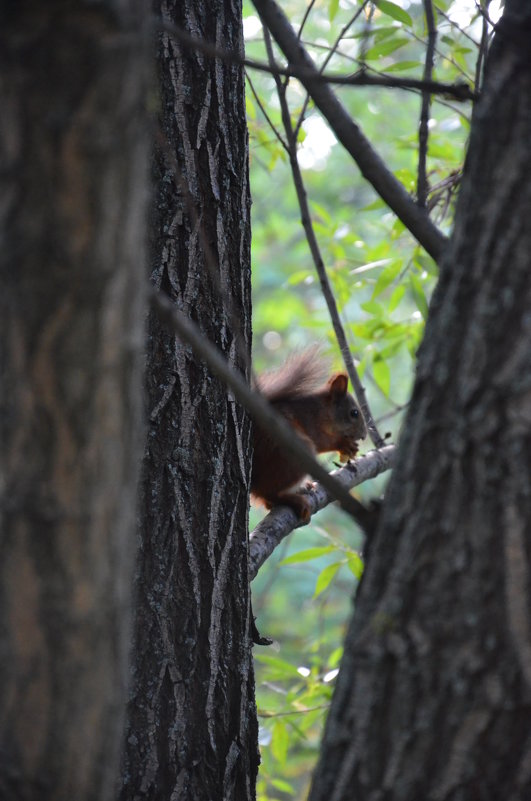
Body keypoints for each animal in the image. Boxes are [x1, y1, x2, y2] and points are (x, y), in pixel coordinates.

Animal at [250, 348, 366, 520]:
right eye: (354, 413)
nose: (364, 435)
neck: (324, 411)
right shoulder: (311, 422)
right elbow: (322, 442)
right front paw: (343, 444)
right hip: (294, 453)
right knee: (269, 493)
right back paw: (295, 499)